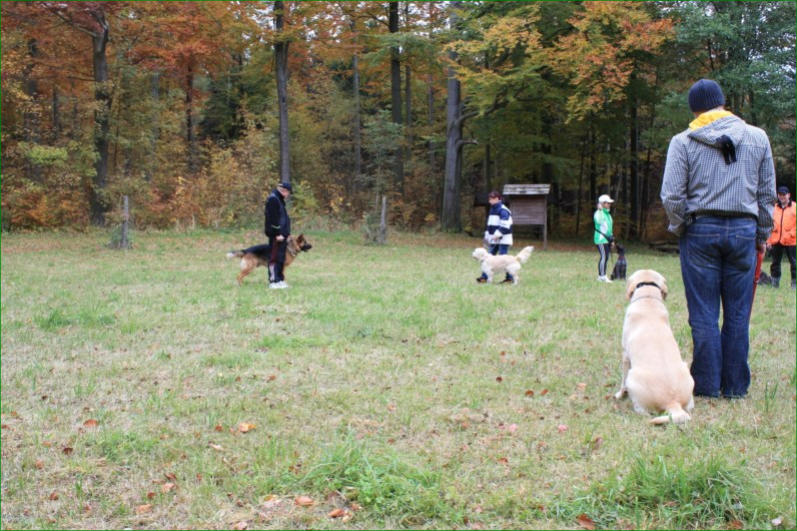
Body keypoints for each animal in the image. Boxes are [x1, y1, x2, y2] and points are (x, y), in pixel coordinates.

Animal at [615, 269, 694, 425]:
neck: (648, 298)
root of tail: (673, 403)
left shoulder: (625, 355)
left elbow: (622, 381)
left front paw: (619, 395)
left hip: (633, 376)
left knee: (643, 411)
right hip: (687, 371)